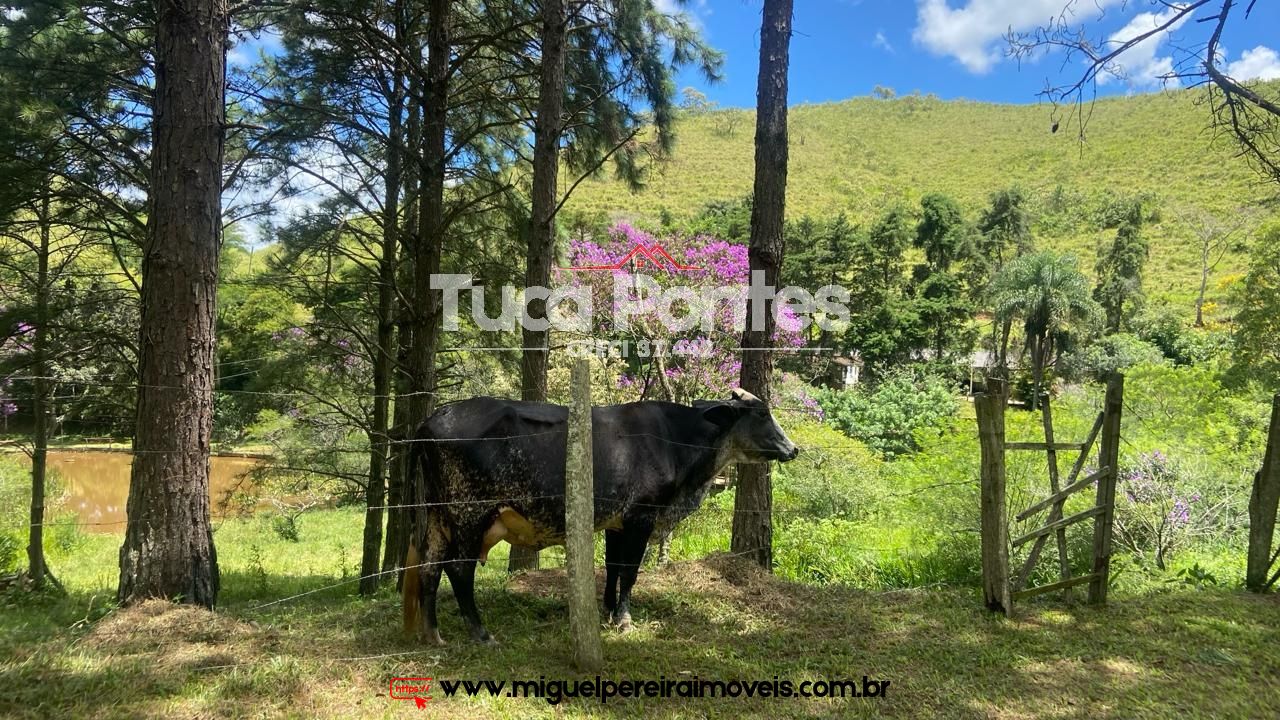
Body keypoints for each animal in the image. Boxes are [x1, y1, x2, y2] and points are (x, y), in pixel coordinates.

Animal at [401, 389, 798, 640]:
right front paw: (624, 619)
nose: (793, 448)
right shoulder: (641, 517)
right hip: (469, 513)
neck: (675, 440)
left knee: (429, 566)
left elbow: (612, 567)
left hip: (437, 518)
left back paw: (432, 633)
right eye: (762, 413)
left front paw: (607, 611)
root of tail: (430, 421)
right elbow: (630, 572)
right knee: (458, 569)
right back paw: (481, 633)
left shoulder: (615, 523)